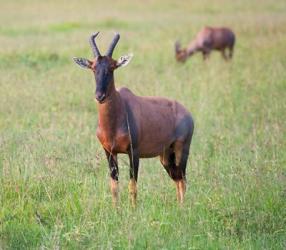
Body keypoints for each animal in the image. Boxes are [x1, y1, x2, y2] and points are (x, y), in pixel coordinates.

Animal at [73, 32, 194, 206]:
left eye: (112, 68)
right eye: (93, 68)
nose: (99, 96)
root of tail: (188, 113)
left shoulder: (134, 152)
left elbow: (132, 186)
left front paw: (133, 210)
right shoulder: (109, 152)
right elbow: (114, 186)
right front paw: (116, 210)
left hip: (181, 150)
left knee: (182, 179)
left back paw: (183, 208)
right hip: (165, 156)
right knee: (177, 179)